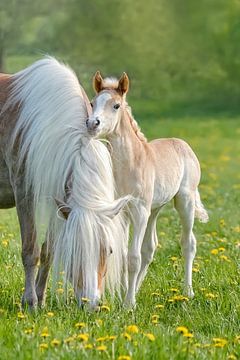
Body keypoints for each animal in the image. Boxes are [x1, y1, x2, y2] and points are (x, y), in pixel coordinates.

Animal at [0, 58, 130, 310]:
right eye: (75, 251)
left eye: (109, 250)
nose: (91, 304)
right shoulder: (24, 193)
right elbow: (30, 250)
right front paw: (30, 302)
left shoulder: (58, 197)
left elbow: (48, 251)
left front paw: (40, 298)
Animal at [86, 71, 208, 306]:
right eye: (92, 102)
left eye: (116, 105)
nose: (92, 123)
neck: (130, 163)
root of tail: (183, 144)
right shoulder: (123, 212)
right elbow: (126, 254)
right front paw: (125, 294)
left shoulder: (140, 210)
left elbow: (133, 257)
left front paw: (128, 304)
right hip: (154, 209)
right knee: (150, 247)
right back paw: (137, 289)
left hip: (184, 201)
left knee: (188, 243)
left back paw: (187, 291)